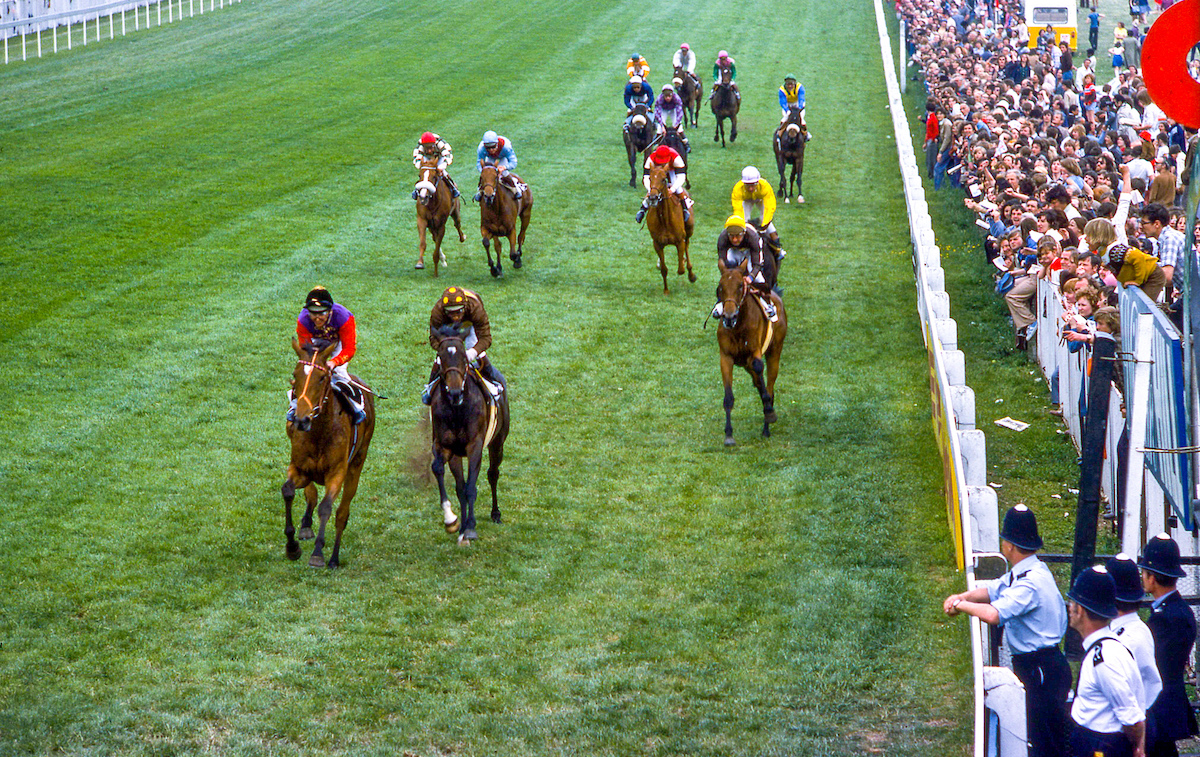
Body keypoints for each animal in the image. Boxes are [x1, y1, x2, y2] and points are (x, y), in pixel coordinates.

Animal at [282, 338, 372, 568]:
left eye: (322, 377)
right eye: (295, 374)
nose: (301, 419)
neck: (319, 434)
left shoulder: (337, 472)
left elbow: (326, 508)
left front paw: (318, 554)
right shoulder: (299, 468)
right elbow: (289, 491)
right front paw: (292, 547)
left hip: (357, 463)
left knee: (342, 513)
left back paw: (334, 558)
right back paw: (306, 525)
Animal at [429, 331, 508, 544]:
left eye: (464, 358)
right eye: (441, 358)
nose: (455, 393)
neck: (457, 410)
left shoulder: (475, 446)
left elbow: (471, 487)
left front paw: (471, 527)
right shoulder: (445, 445)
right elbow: (439, 470)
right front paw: (453, 521)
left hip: (498, 442)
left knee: (493, 474)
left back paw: (495, 513)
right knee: (460, 487)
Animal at [648, 163, 696, 292]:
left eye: (663, 179)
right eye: (650, 178)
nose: (653, 197)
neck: (664, 220)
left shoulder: (679, 241)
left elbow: (681, 270)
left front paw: (684, 264)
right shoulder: (657, 244)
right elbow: (664, 269)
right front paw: (666, 290)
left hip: (689, 230)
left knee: (687, 246)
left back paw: (690, 273)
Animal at [710, 265, 787, 446]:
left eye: (740, 286)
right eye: (720, 286)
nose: (729, 316)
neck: (738, 326)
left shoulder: (754, 352)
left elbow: (759, 369)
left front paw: (769, 412)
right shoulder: (726, 357)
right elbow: (728, 397)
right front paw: (729, 434)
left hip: (775, 351)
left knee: (769, 386)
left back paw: (767, 425)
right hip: (745, 363)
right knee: (759, 383)